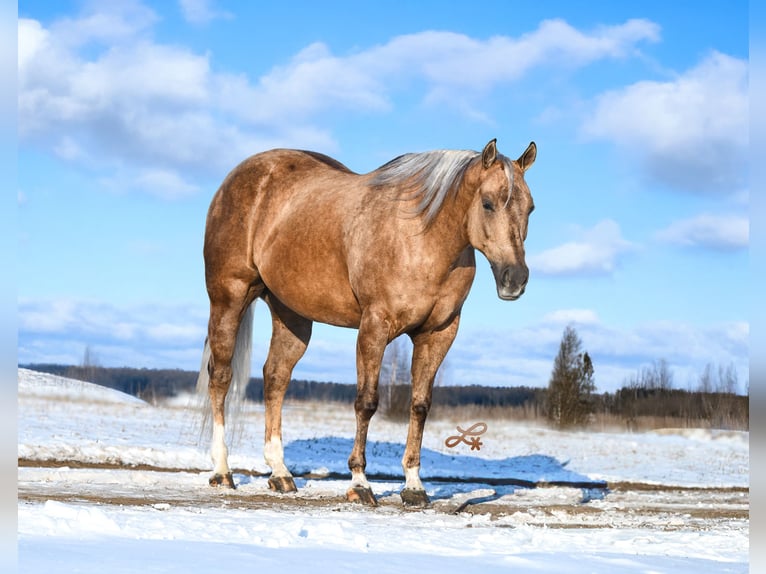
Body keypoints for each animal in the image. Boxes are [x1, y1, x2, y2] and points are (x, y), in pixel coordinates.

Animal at [196, 138, 536, 507]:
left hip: (292, 316)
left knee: (275, 379)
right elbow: (367, 402)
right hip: (229, 299)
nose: (515, 279)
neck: (421, 237)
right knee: (222, 377)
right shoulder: (375, 326)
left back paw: (280, 473)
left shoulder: (437, 334)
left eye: (530, 208)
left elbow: (420, 405)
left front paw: (414, 486)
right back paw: (222, 471)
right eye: (488, 204)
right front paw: (360, 483)